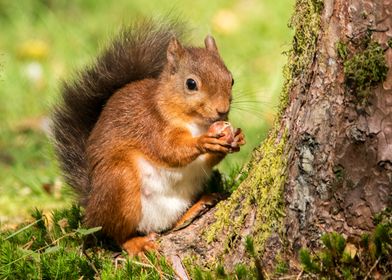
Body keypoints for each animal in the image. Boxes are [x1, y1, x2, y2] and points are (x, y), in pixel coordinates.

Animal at [52, 20, 245, 255]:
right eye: (191, 84)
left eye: (231, 79)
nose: (222, 110)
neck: (196, 123)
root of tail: (91, 205)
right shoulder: (151, 127)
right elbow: (169, 151)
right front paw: (204, 142)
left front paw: (237, 138)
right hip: (120, 181)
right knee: (116, 233)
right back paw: (136, 243)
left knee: (168, 225)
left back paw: (196, 208)